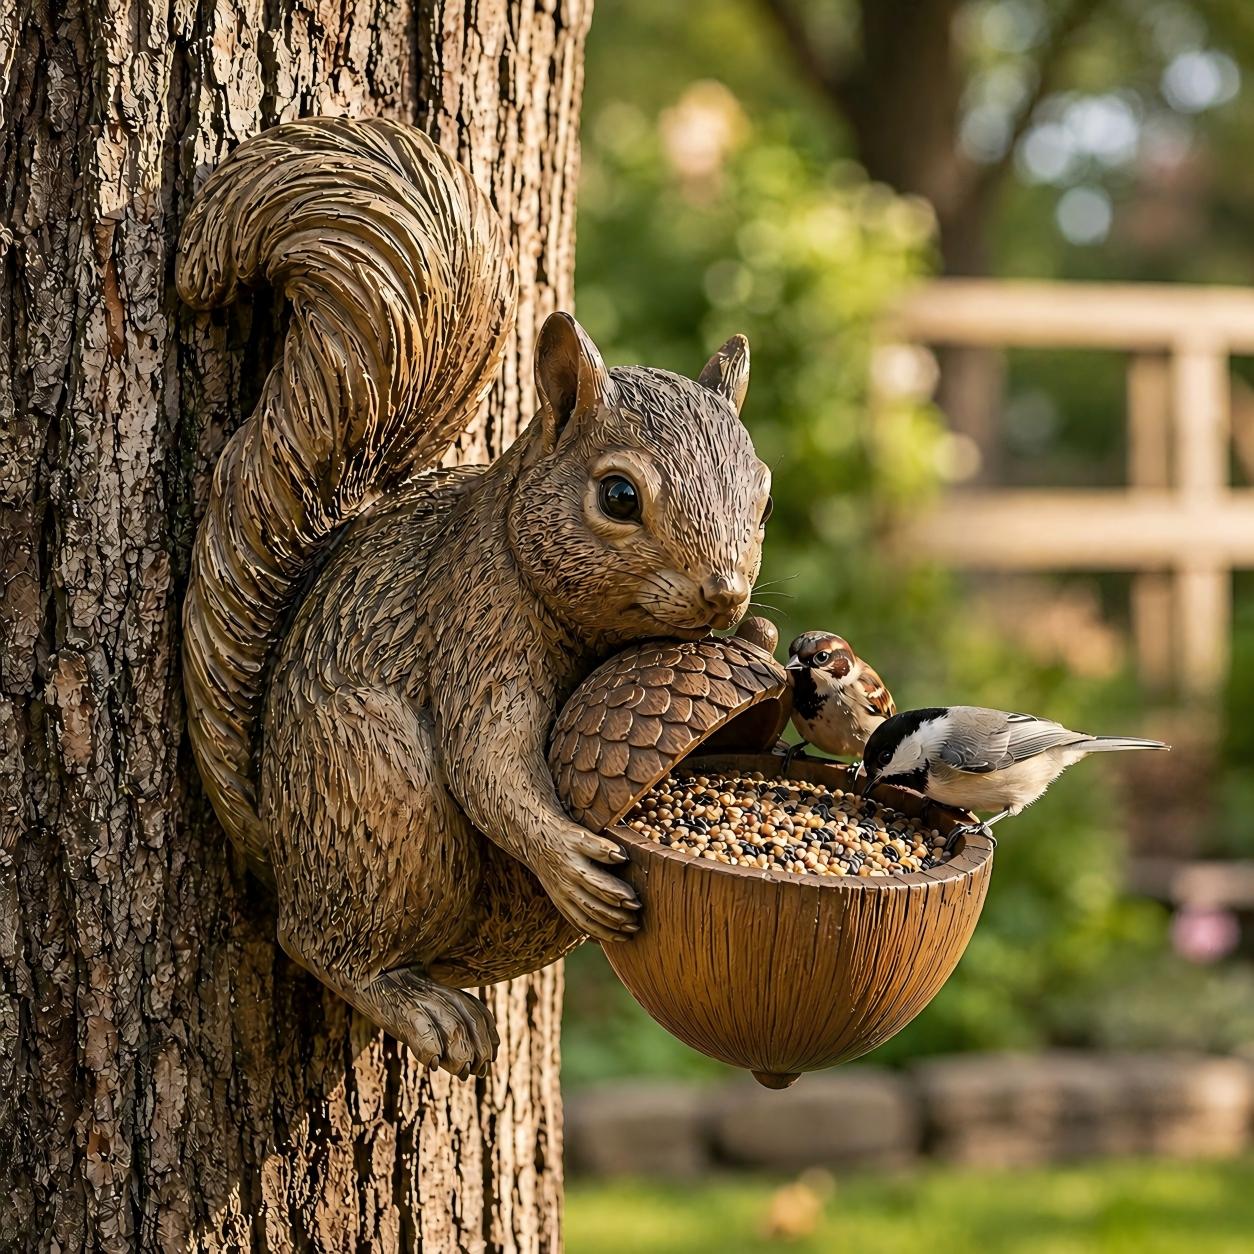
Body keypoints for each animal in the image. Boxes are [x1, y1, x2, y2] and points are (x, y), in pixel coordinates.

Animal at [178, 117, 772, 1079]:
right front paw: (567, 856)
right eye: (618, 496)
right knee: (319, 940)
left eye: (763, 496)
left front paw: (762, 639)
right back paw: (422, 1005)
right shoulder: (474, 610)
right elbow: (488, 758)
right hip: (381, 800)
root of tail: (277, 828)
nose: (723, 594)